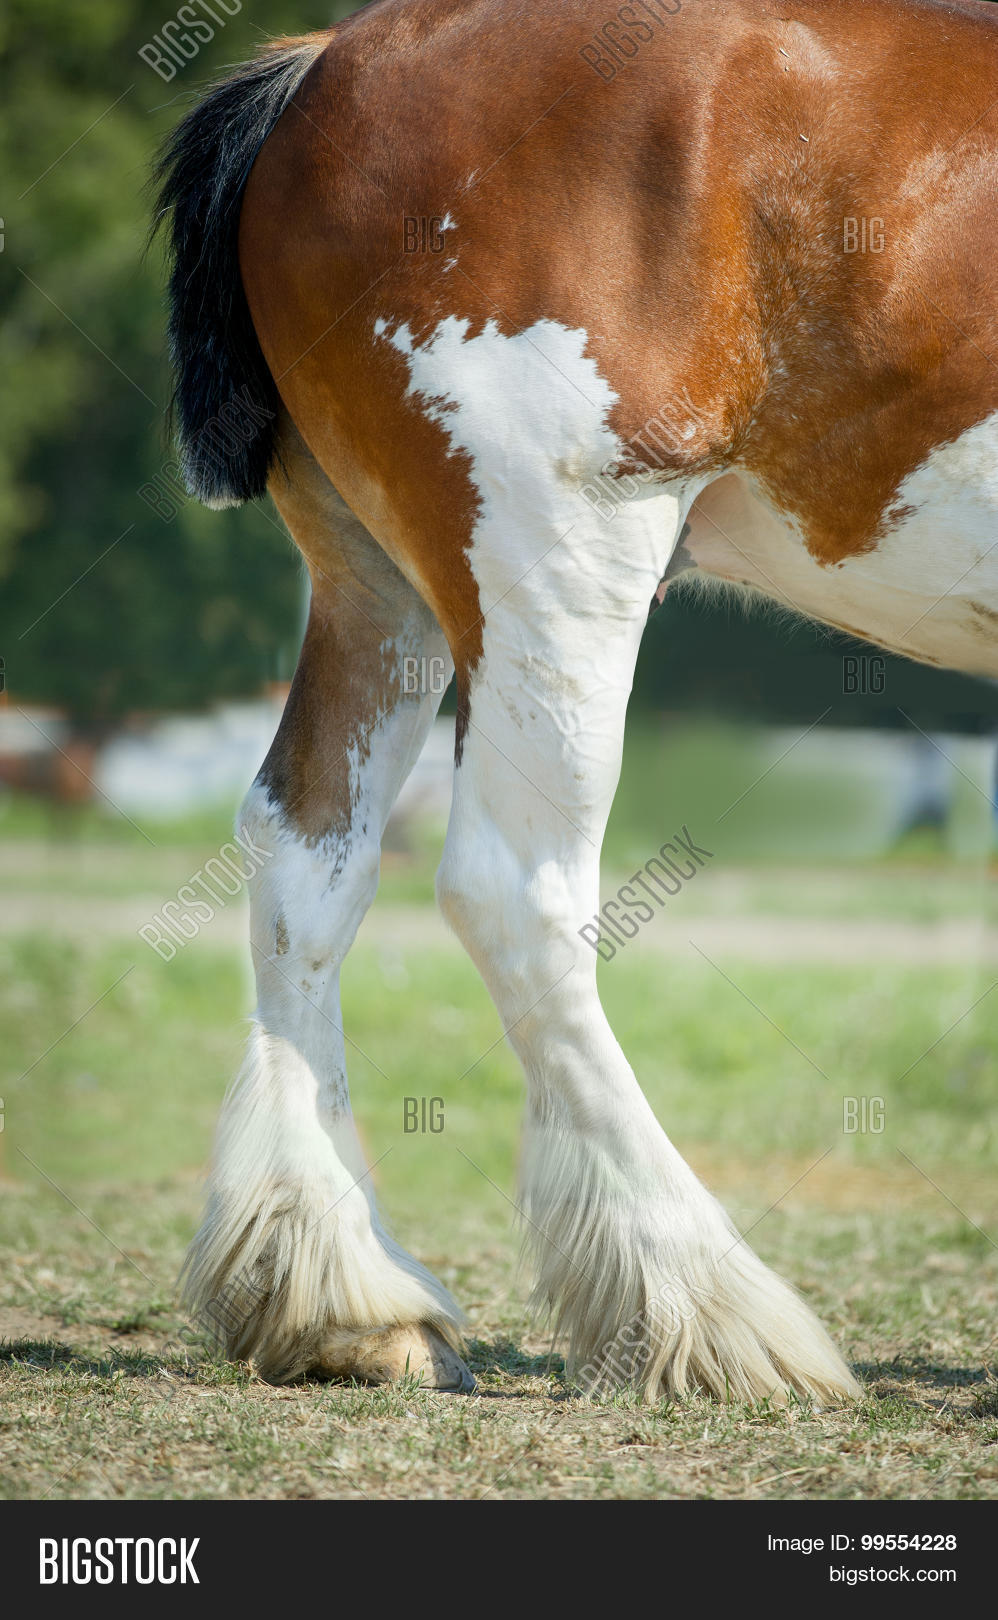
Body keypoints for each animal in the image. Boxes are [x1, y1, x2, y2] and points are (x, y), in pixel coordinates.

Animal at [154, 0, 998, 1401]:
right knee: (512, 894)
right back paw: (698, 1299)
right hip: (558, 561)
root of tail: (334, 58)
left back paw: (342, 1297)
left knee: (305, 854)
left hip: (371, 579)